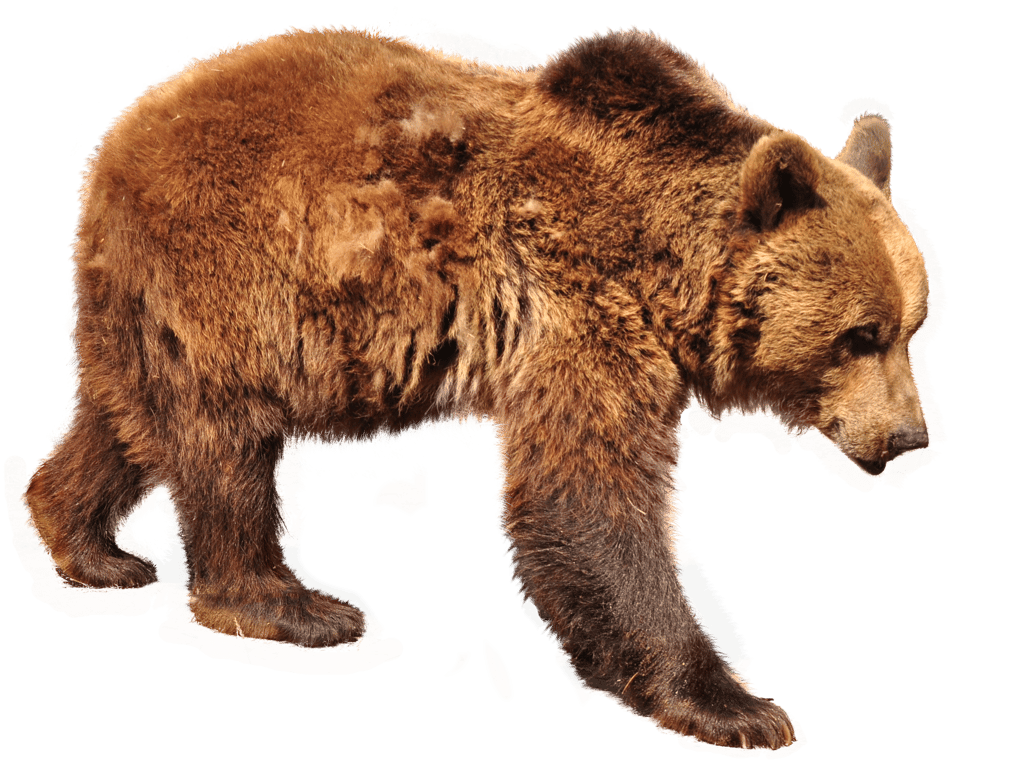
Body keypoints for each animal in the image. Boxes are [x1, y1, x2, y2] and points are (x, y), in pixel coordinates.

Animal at [26, 25, 931, 751]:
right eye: (860, 334)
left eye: (915, 324)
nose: (909, 436)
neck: (661, 260)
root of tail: (127, 128)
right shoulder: (578, 302)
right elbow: (586, 493)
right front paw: (734, 706)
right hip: (234, 270)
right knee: (228, 443)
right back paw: (292, 605)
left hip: (148, 302)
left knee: (125, 418)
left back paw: (91, 547)